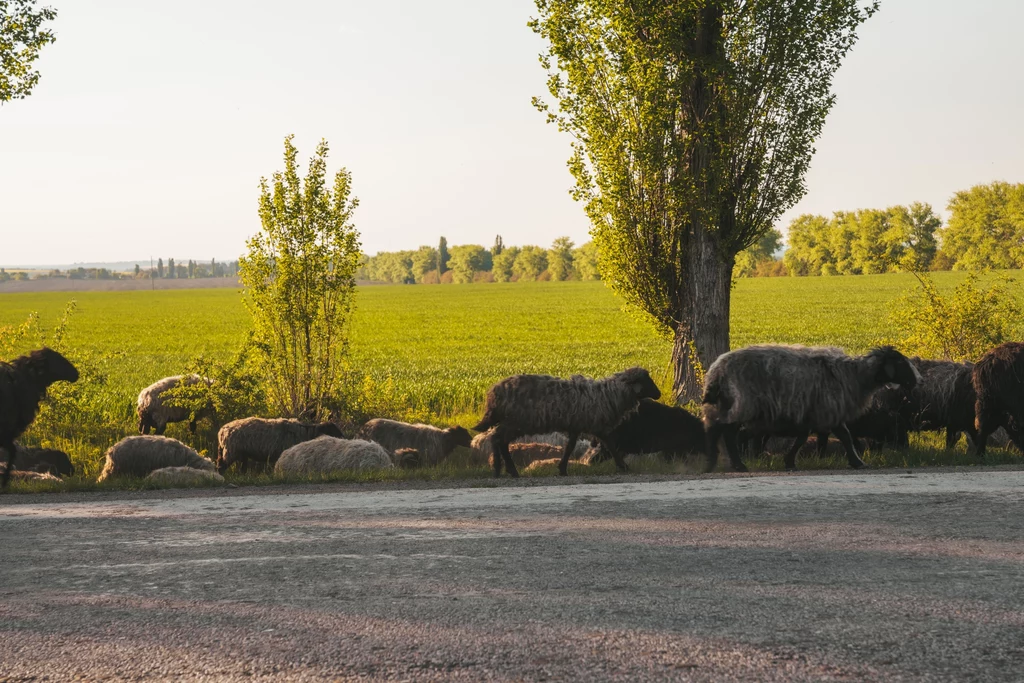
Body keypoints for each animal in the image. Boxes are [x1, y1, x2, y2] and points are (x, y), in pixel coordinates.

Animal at [216, 417, 344, 475]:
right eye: (333, 431)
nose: (344, 438)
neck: (305, 432)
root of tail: (222, 431)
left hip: (241, 454)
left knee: (241, 469)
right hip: (230, 452)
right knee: (221, 467)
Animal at [473, 366, 659, 479]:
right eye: (646, 380)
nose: (659, 394)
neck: (609, 395)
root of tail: (493, 393)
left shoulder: (576, 425)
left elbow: (569, 447)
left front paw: (562, 468)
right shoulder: (597, 426)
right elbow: (611, 445)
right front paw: (623, 466)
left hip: (513, 421)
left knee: (499, 439)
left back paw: (505, 470)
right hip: (516, 421)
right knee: (498, 439)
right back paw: (502, 469)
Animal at [704, 344, 921, 473]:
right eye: (900, 361)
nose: (919, 380)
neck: (855, 376)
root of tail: (716, 371)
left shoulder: (815, 414)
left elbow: (828, 437)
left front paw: (791, 461)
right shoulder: (824, 410)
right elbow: (841, 437)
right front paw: (858, 462)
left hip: (728, 406)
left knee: (716, 429)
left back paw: (714, 463)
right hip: (741, 405)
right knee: (728, 433)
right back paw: (737, 465)